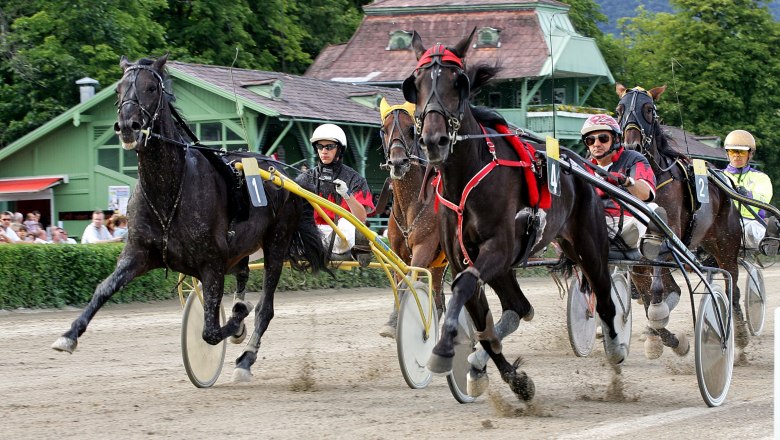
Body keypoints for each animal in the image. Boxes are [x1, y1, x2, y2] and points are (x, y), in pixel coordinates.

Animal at [50, 55, 328, 382]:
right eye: (118, 89)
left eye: (151, 87)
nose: (128, 126)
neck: (168, 192)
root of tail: (286, 174)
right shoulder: (139, 254)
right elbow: (104, 288)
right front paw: (69, 335)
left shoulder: (212, 264)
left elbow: (209, 331)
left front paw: (236, 321)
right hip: (243, 248)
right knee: (243, 273)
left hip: (276, 242)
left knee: (265, 307)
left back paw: (246, 358)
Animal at [376, 98, 444, 336]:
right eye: (383, 130)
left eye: (411, 129)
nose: (398, 163)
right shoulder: (398, 253)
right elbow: (400, 283)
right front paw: (393, 320)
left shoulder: (424, 248)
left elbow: (408, 285)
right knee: (439, 299)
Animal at [402, 30, 628, 402]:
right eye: (414, 84)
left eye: (457, 82)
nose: (433, 140)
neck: (467, 176)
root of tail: (578, 164)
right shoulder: (466, 258)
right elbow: (480, 319)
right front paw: (509, 377)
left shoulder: (498, 247)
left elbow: (464, 289)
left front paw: (444, 350)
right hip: (506, 267)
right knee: (520, 307)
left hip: (589, 245)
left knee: (606, 298)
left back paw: (615, 348)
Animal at [612, 84, 748, 356]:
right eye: (619, 110)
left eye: (649, 109)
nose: (632, 144)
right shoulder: (638, 252)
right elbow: (647, 293)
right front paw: (661, 337)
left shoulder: (665, 238)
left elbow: (655, 291)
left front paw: (658, 326)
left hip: (726, 244)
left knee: (733, 287)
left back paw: (739, 337)